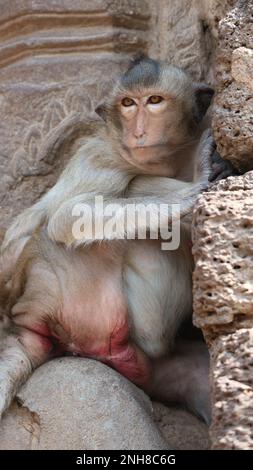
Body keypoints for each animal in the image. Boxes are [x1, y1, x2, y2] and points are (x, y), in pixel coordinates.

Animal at [0, 57, 228, 424]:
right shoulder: (101, 157)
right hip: (76, 300)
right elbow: (68, 216)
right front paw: (196, 187)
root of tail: (23, 317)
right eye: (127, 104)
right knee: (133, 198)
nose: (139, 132)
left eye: (154, 101)